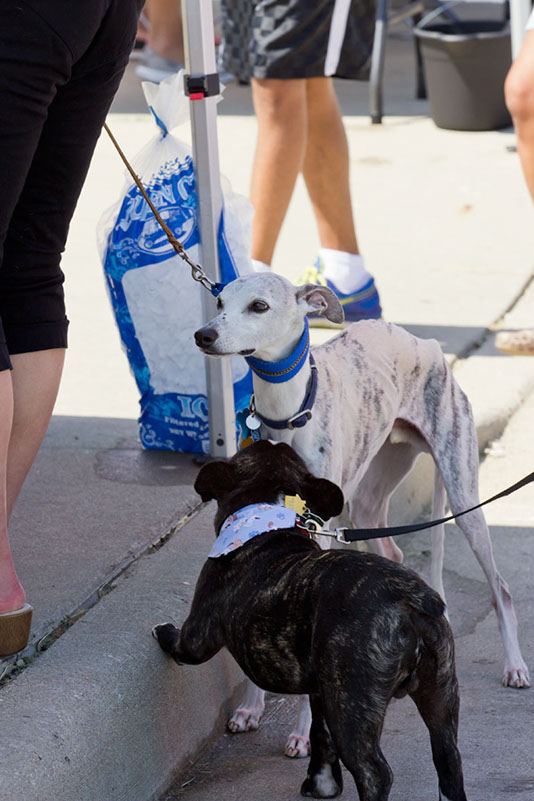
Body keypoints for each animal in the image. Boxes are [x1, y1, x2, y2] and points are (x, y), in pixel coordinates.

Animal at [152, 440, 468, 796]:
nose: (267, 438)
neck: (265, 511)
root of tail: (412, 600)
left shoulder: (199, 629)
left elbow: (183, 645)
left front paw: (162, 630)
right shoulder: (321, 690)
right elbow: (320, 733)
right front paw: (322, 783)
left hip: (353, 707)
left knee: (375, 771)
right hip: (438, 692)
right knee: (448, 756)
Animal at [195, 272, 528, 752]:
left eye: (259, 306)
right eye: (219, 301)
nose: (203, 335)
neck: (286, 414)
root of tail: (426, 343)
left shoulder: (315, 531)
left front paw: (303, 734)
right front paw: (250, 708)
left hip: (463, 494)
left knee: (499, 586)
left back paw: (515, 665)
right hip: (369, 498)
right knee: (395, 552)